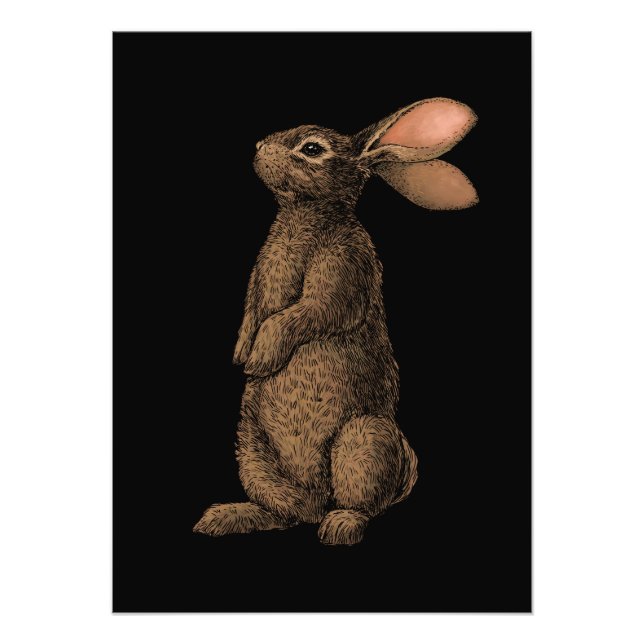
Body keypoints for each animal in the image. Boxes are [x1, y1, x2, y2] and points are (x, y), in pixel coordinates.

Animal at [193, 98, 478, 545]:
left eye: (312, 149)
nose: (258, 146)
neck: (305, 213)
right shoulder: (258, 282)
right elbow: (253, 311)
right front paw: (242, 354)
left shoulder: (341, 272)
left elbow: (302, 314)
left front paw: (260, 358)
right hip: (250, 445)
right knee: (288, 510)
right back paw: (226, 517)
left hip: (361, 440)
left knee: (355, 503)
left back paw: (339, 527)